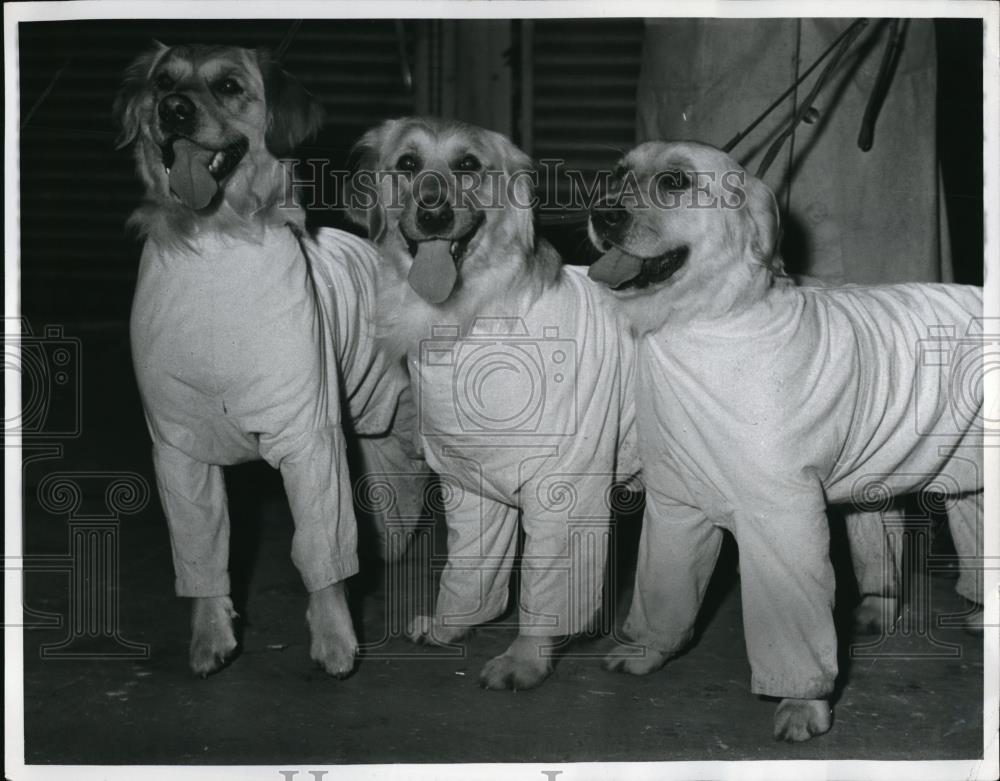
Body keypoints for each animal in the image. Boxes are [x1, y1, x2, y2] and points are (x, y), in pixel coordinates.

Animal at [115, 42, 428, 676]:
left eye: (230, 86)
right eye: (163, 82)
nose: (173, 110)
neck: (213, 245)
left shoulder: (309, 439)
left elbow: (321, 548)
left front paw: (334, 639)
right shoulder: (179, 448)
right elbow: (201, 551)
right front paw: (210, 637)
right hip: (382, 446)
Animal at [348, 116, 636, 688]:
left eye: (468, 166)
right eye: (407, 164)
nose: (433, 213)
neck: (471, 314)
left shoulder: (564, 495)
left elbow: (546, 592)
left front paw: (525, 660)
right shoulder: (470, 484)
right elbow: (470, 569)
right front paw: (451, 625)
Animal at [584, 137, 984, 740]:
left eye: (676, 182)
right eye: (617, 174)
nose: (601, 214)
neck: (709, 321)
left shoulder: (784, 519)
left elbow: (798, 630)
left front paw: (803, 705)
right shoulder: (676, 508)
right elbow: (665, 589)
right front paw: (648, 652)